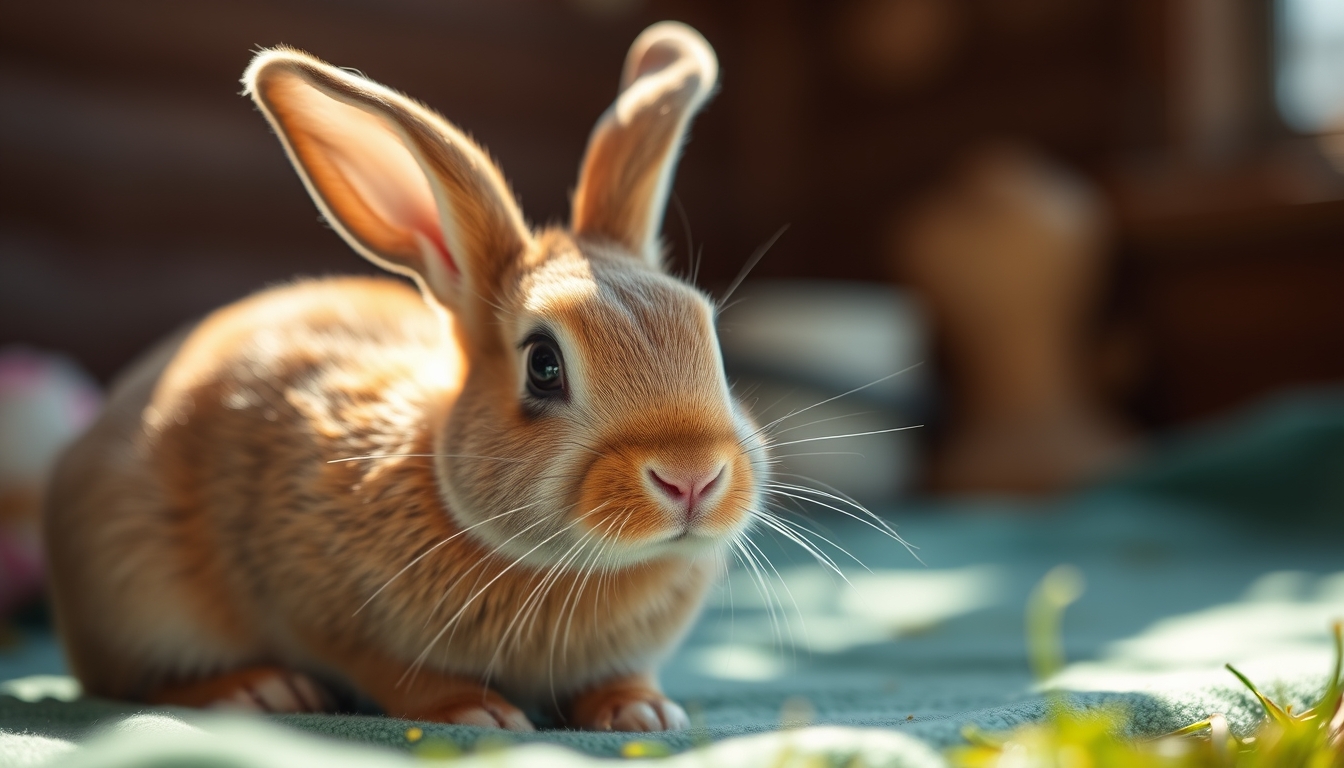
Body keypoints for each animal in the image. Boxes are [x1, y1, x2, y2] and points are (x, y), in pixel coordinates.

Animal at [43, 21, 767, 732]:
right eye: (543, 364)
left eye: (708, 333)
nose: (691, 477)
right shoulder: (327, 611)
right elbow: (393, 673)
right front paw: (478, 712)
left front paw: (643, 711)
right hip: (140, 590)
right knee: (130, 684)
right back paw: (259, 691)